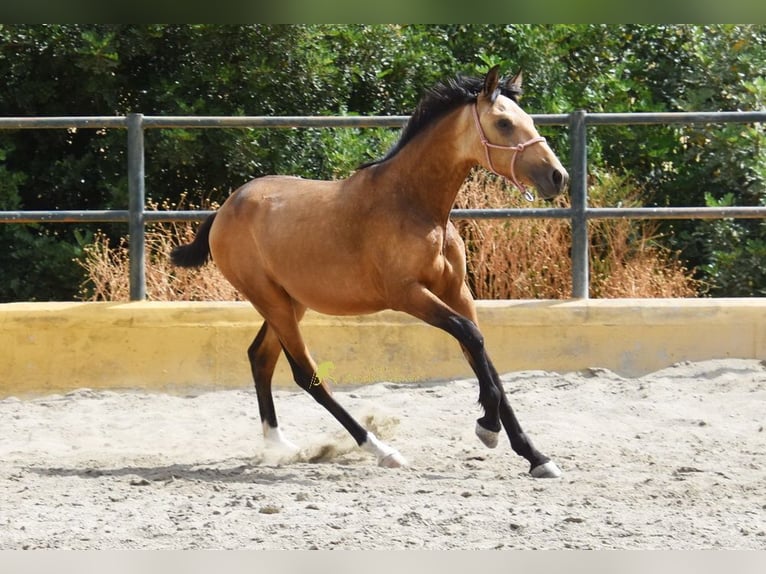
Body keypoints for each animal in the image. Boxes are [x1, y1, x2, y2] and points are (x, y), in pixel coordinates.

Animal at [171, 66, 569, 478]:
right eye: (504, 123)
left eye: (529, 119)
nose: (558, 176)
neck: (414, 205)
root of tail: (224, 210)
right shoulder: (408, 294)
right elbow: (472, 337)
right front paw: (487, 428)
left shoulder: (456, 292)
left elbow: (481, 353)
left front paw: (536, 456)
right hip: (272, 302)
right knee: (306, 375)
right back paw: (382, 450)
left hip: (290, 302)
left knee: (260, 358)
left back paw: (280, 446)